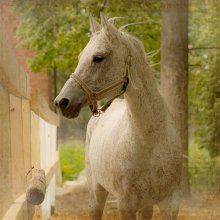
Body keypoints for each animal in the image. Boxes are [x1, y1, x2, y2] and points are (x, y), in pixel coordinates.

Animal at [54, 14, 181, 220]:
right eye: (80, 57)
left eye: (98, 57)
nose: (61, 102)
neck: (150, 141)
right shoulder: (126, 204)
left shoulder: (170, 204)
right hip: (97, 194)